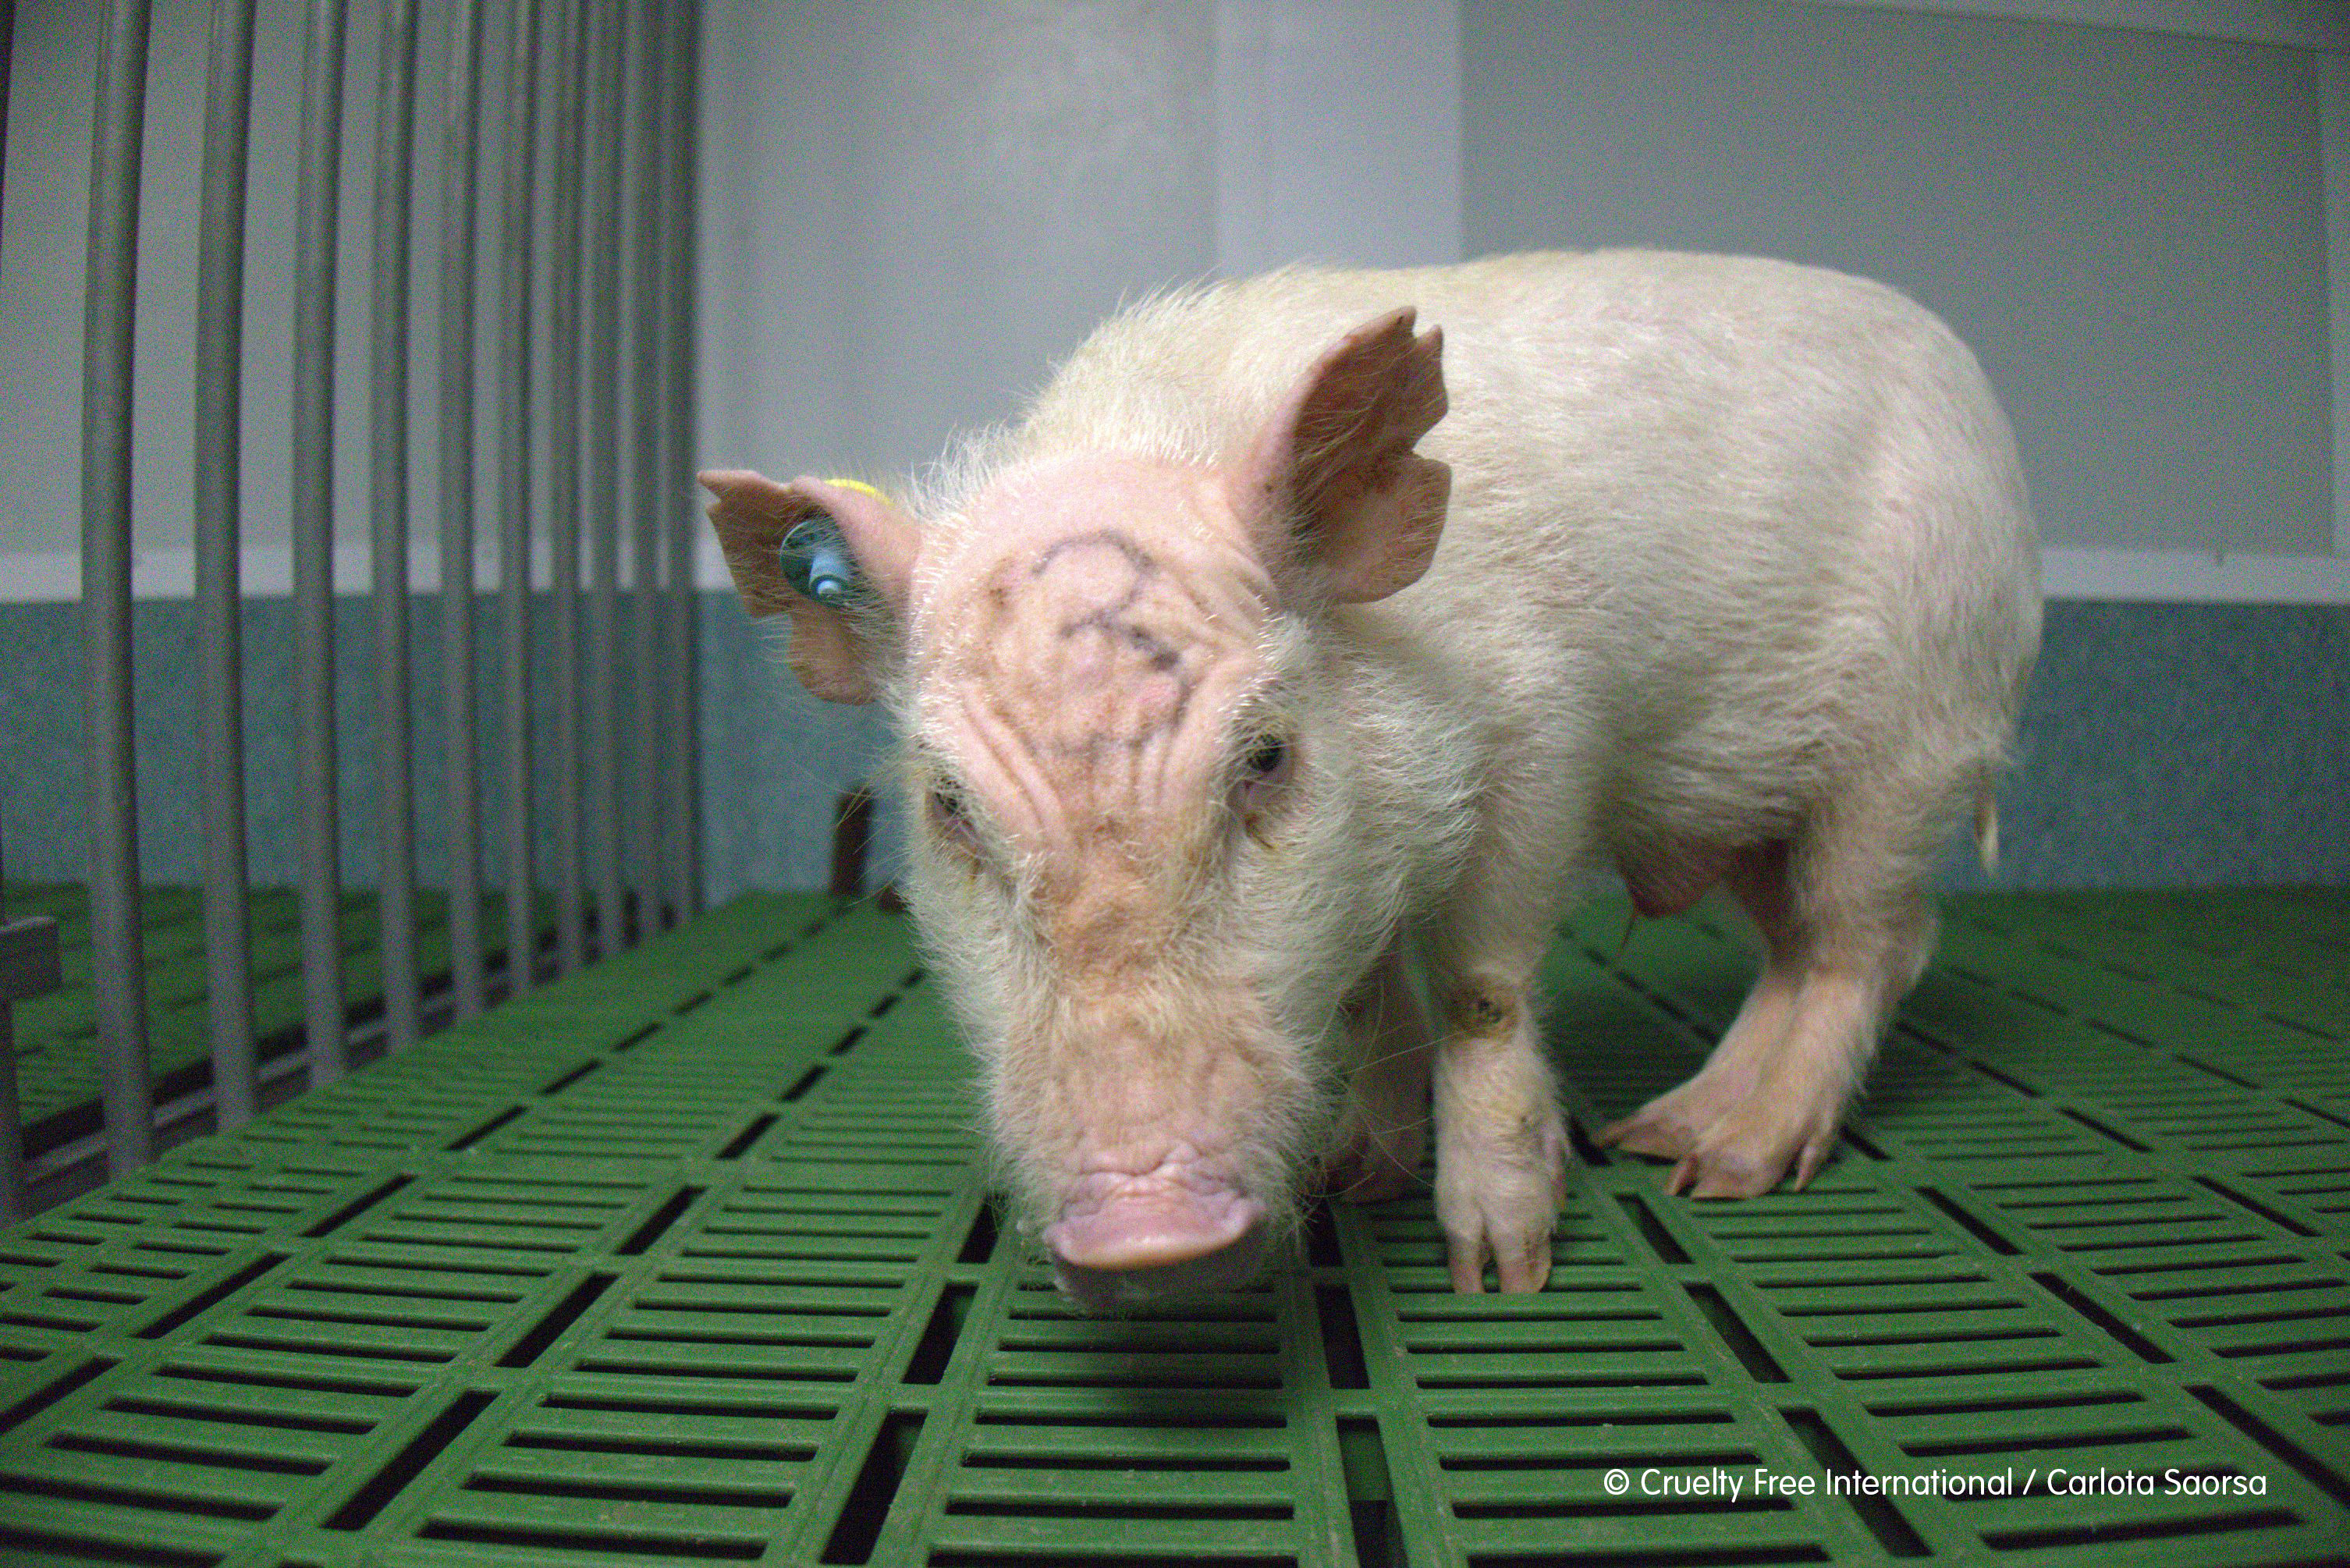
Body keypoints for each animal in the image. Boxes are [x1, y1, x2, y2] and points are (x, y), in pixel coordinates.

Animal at [704, 250, 2039, 1309]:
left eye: (1266, 757)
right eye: (949, 809)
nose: (1149, 1229)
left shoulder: (1545, 748)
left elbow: (1481, 992)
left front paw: (1499, 1273)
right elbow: (1364, 1000)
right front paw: (1352, 1181)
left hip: (1910, 738)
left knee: (1870, 943)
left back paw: (1726, 1167)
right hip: (1757, 809)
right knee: (1791, 949)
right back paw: (1667, 1135)